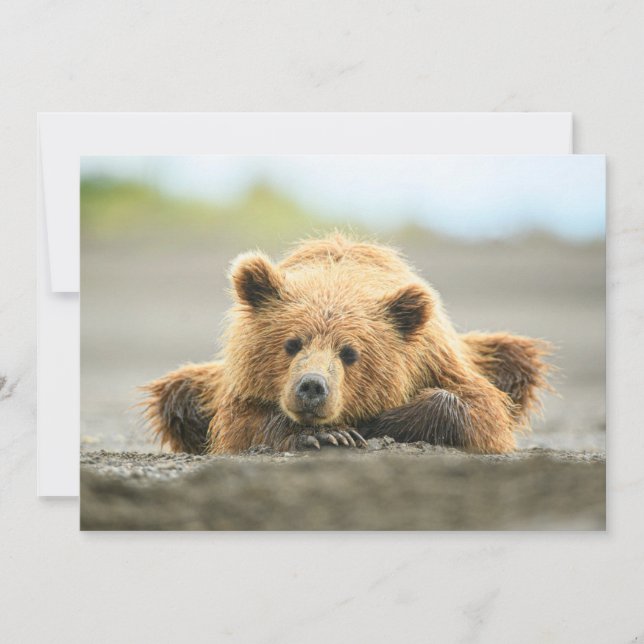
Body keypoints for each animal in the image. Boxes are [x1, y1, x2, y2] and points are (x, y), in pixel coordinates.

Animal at [142, 233, 552, 455]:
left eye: (350, 352)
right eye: (292, 343)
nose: (312, 386)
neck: (339, 277)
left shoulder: (436, 358)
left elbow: (480, 410)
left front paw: (374, 423)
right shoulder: (238, 385)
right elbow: (239, 425)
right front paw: (328, 434)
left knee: (518, 359)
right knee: (177, 393)